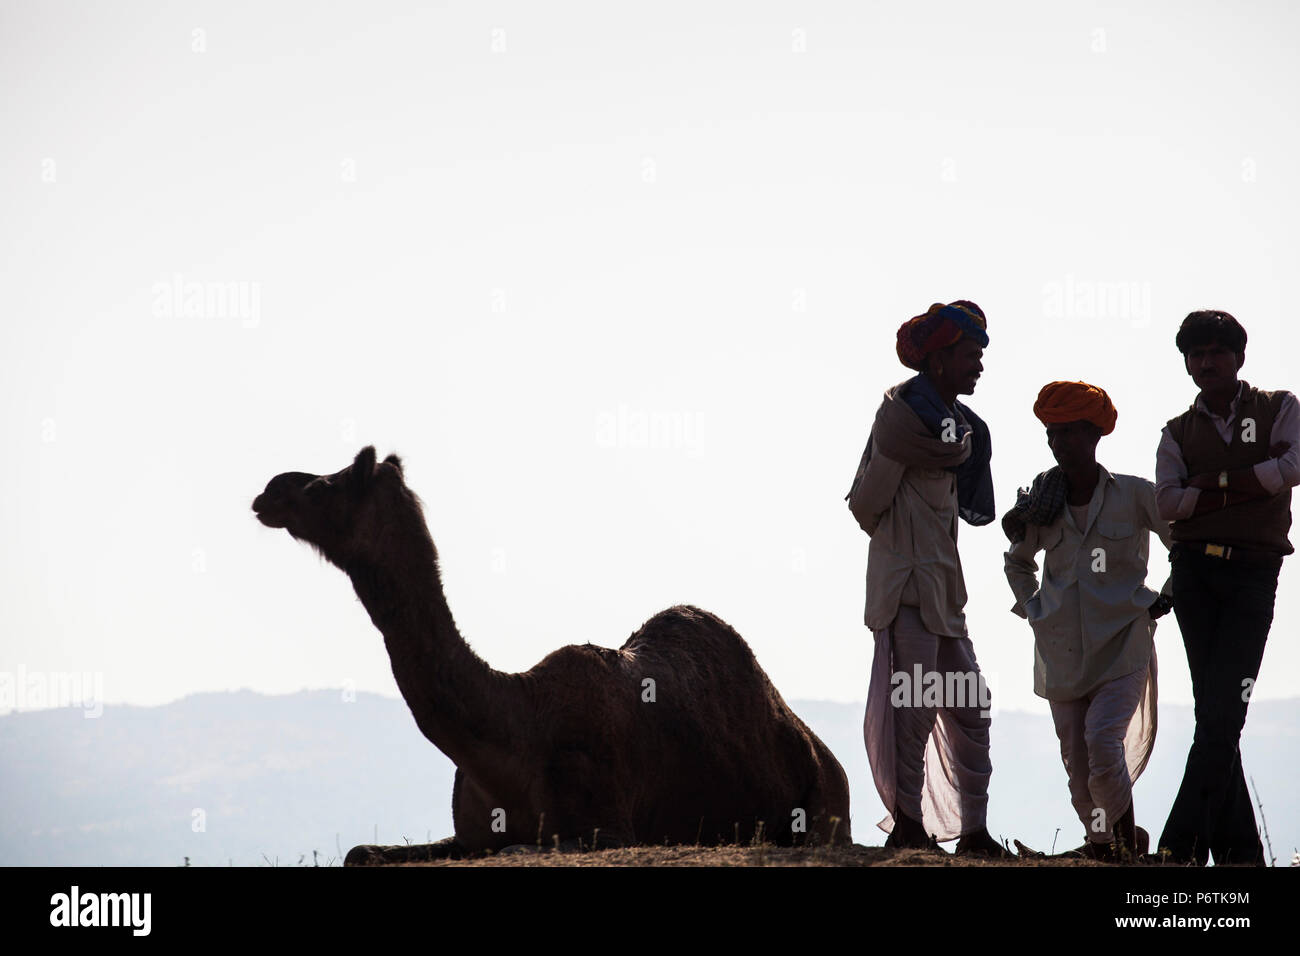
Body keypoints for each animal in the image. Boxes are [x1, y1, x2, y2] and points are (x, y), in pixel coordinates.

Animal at [250, 444, 852, 863]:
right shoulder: (468, 835)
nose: (269, 491)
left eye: (332, 483)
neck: (517, 729)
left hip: (822, 810)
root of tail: (832, 763)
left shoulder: (607, 826)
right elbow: (360, 852)